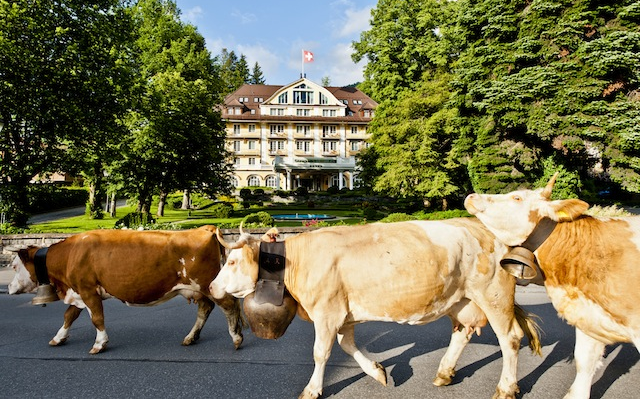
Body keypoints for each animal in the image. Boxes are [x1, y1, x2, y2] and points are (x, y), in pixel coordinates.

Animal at [8, 227, 244, 354]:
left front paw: (99, 343)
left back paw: (236, 338)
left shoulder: (88, 290)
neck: (70, 254)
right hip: (198, 288)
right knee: (205, 308)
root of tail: (204, 228)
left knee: (229, 305)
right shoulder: (79, 291)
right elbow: (69, 316)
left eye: (14, 266)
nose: (9, 287)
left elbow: (97, 318)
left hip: (208, 284)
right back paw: (190, 337)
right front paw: (58, 338)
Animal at [210, 220, 540, 398]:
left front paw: (312, 389)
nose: (212, 288)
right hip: (461, 300)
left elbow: (321, 353)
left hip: (493, 295)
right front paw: (378, 371)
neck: (299, 261)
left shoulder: (327, 312)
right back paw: (444, 373)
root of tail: (485, 229)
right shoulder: (342, 313)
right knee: (462, 333)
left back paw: (506, 388)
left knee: (510, 339)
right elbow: (347, 345)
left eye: (232, 261)